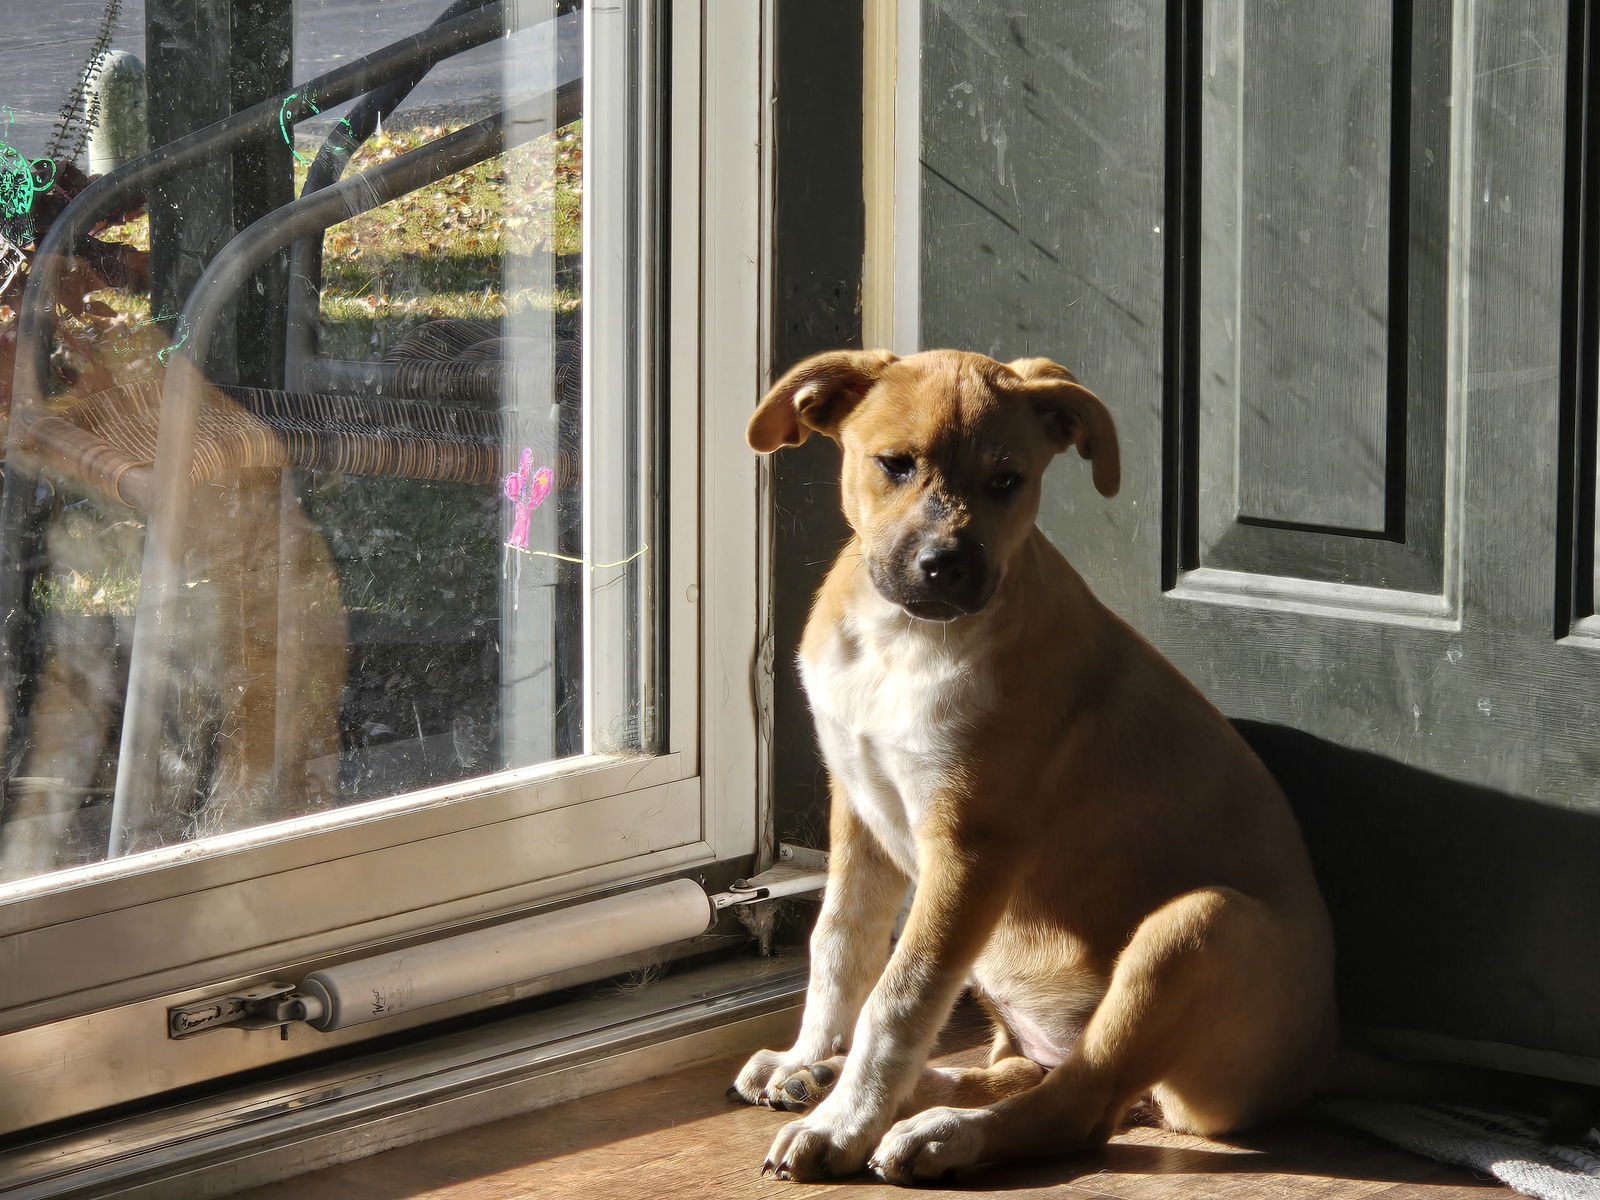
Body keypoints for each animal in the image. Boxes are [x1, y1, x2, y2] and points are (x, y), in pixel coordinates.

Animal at [732, 352, 1331, 1190]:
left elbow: (901, 994)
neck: (903, 642)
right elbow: (838, 947)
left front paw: (844, 1125)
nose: (944, 568)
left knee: (1079, 1106)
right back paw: (845, 1084)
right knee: (1026, 1075)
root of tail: (1320, 1065)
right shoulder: (858, 808)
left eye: (1006, 479)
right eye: (895, 464)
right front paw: (810, 1057)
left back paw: (936, 1134)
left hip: (1200, 927)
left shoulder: (971, 848)